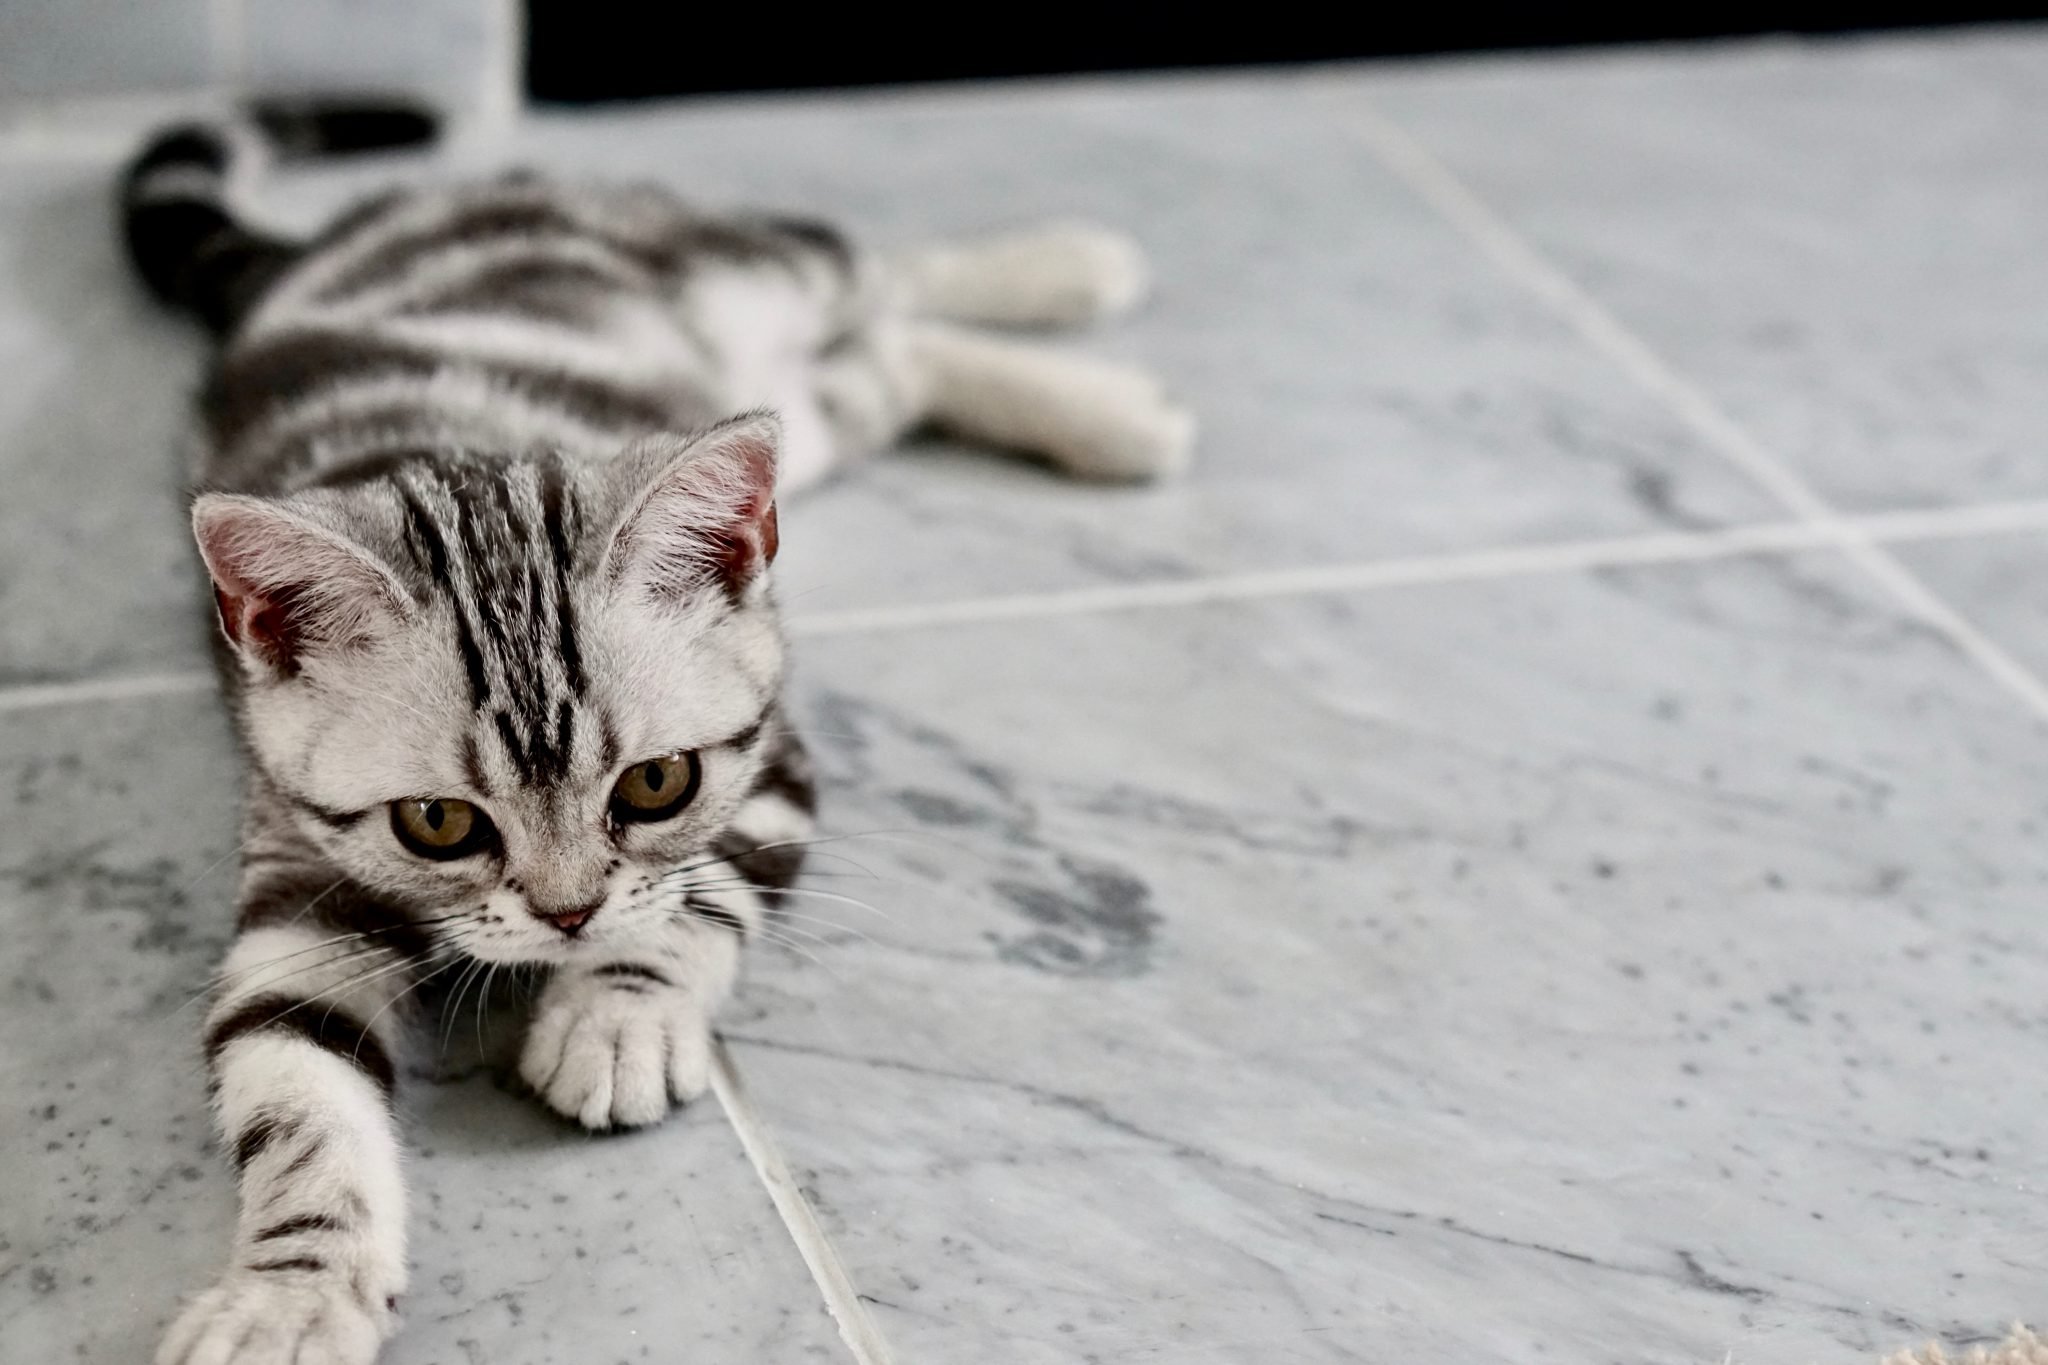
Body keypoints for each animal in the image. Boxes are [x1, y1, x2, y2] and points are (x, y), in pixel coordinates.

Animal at [123, 104, 1187, 1365]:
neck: (442, 454)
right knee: (882, 366)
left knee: (873, 273)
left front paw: (615, 1017)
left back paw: (1076, 298)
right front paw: (292, 1287)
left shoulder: (770, 761)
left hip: (740, 274)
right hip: (796, 414)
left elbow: (701, 894)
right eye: (437, 823)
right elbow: (292, 1083)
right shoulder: (295, 865)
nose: (568, 915)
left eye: (654, 786)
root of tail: (322, 248)